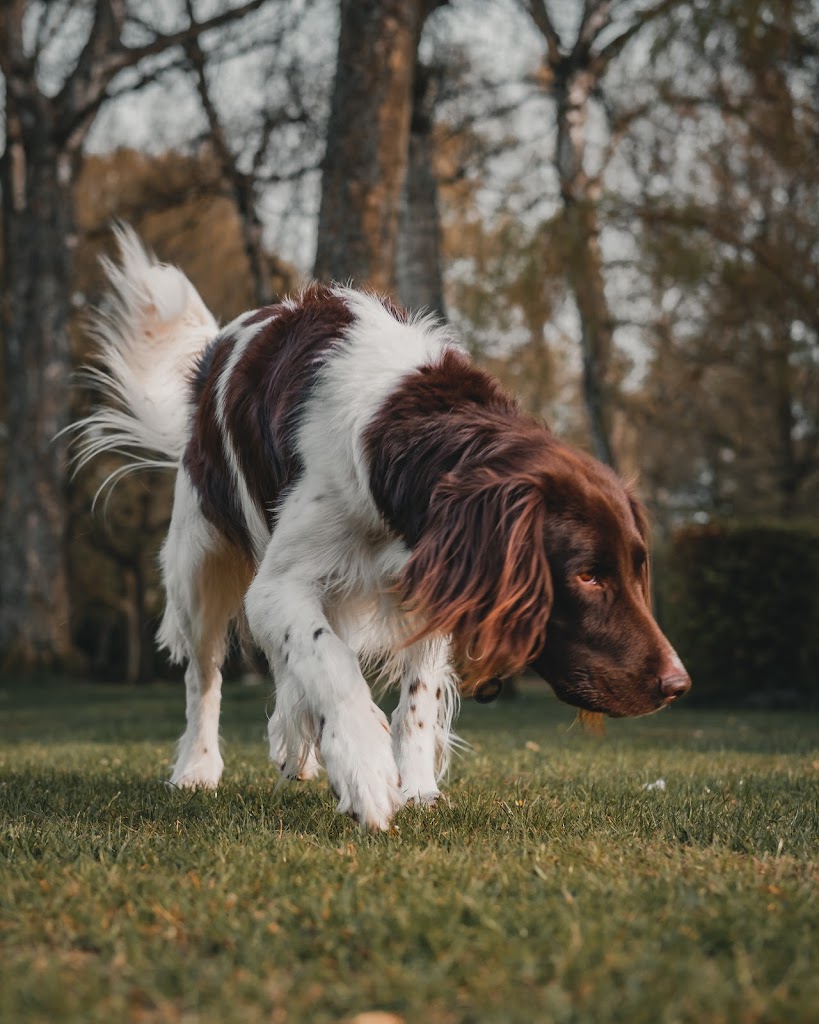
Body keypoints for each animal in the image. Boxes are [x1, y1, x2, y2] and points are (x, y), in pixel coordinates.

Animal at [75, 228, 692, 827]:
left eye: (637, 570)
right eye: (587, 576)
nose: (678, 684)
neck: (407, 438)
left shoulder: (440, 578)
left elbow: (415, 696)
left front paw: (414, 784)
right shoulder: (279, 584)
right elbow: (328, 661)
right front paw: (365, 770)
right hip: (198, 564)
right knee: (203, 677)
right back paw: (198, 768)